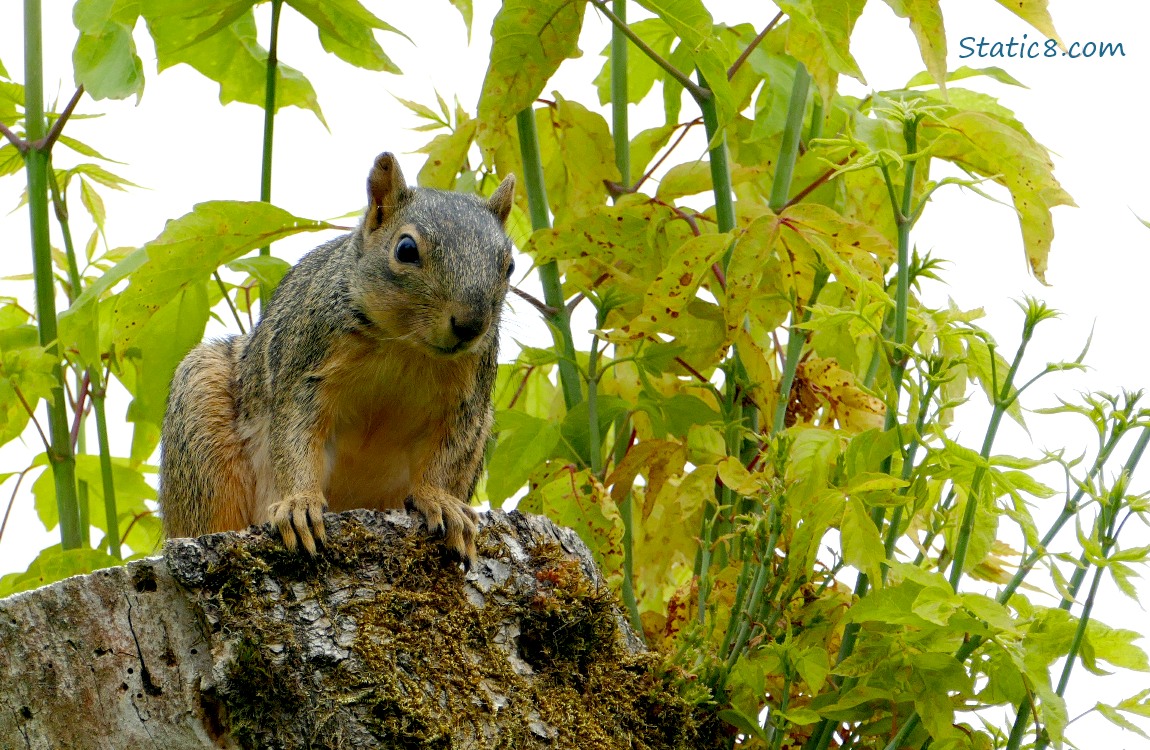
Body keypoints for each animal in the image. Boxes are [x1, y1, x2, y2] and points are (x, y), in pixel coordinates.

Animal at [158, 152, 516, 568]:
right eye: (406, 249)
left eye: (509, 265)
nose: (470, 325)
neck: (405, 346)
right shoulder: (306, 369)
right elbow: (294, 437)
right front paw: (299, 505)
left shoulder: (468, 402)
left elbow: (448, 456)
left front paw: (441, 502)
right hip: (202, 415)